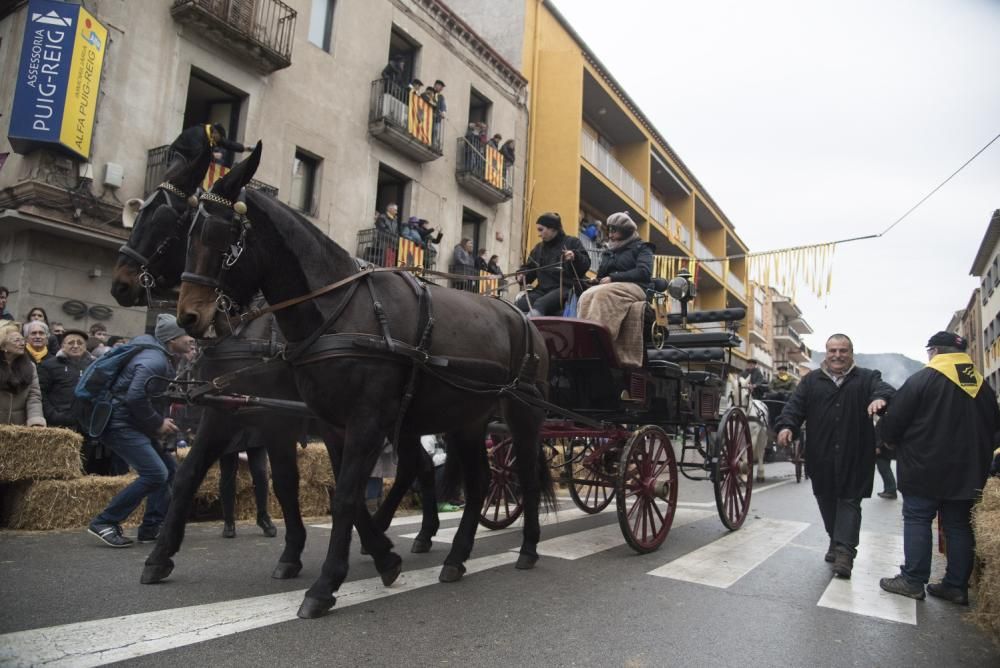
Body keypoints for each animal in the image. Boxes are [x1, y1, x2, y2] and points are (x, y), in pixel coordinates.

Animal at [178, 144, 556, 620]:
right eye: (187, 232)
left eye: (220, 234)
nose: (189, 316)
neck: (340, 309)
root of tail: (523, 320)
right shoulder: (332, 424)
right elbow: (349, 493)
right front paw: (384, 557)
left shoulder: (366, 421)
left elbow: (345, 497)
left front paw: (325, 586)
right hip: (467, 421)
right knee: (480, 484)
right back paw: (455, 557)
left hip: (522, 416)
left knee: (525, 478)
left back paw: (527, 548)